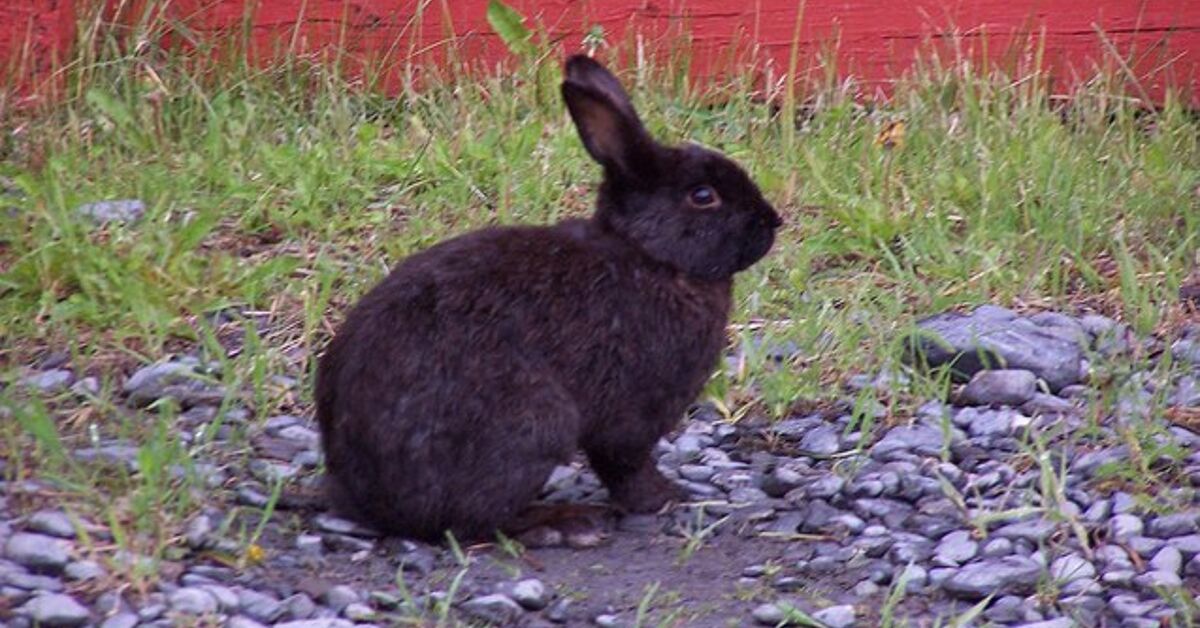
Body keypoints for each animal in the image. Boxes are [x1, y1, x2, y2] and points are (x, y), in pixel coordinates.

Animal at [315, 54, 781, 541]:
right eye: (703, 196)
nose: (773, 222)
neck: (651, 255)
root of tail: (369, 500)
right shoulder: (633, 412)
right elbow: (624, 462)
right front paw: (663, 498)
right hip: (535, 424)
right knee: (475, 520)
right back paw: (564, 521)